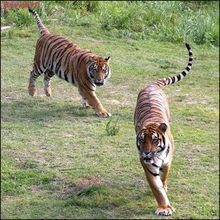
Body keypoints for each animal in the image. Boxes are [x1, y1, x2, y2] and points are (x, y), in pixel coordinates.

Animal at [133, 42, 193, 215]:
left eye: (154, 140)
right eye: (142, 140)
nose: (146, 153)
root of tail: (151, 85)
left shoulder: (167, 161)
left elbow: (164, 176)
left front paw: (164, 186)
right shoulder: (147, 165)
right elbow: (156, 187)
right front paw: (164, 207)